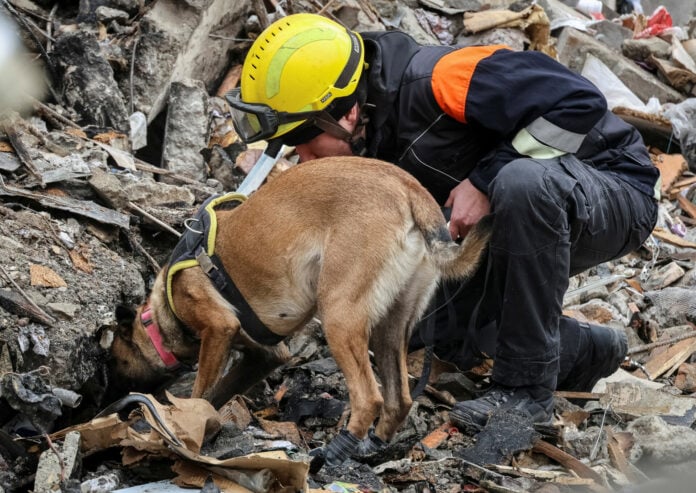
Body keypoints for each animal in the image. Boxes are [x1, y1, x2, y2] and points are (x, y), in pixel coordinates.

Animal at [109, 157, 490, 466]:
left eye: (118, 362)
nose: (109, 397)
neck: (164, 312)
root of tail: (410, 188)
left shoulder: (218, 328)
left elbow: (203, 388)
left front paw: (182, 428)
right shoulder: (264, 354)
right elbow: (220, 391)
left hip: (339, 315)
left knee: (369, 398)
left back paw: (332, 454)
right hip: (391, 327)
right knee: (399, 399)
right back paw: (371, 447)